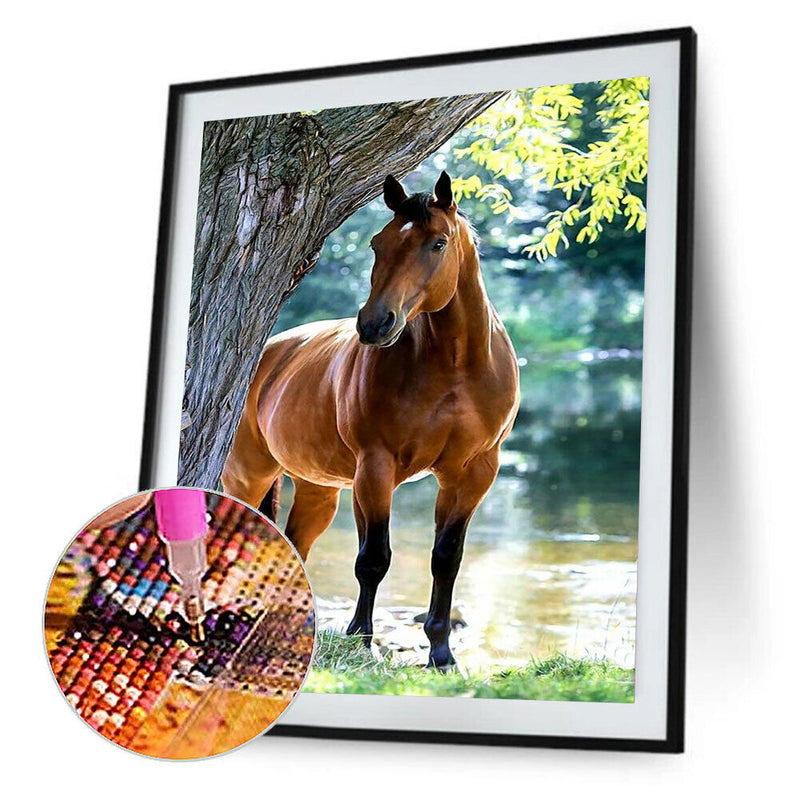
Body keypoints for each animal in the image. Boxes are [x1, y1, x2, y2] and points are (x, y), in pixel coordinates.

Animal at [222, 171, 520, 668]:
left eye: (438, 244)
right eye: (378, 243)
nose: (375, 324)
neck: (456, 366)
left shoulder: (472, 473)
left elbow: (446, 557)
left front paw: (441, 653)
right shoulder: (377, 467)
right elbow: (374, 558)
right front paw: (362, 640)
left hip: (319, 491)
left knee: (294, 547)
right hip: (249, 476)